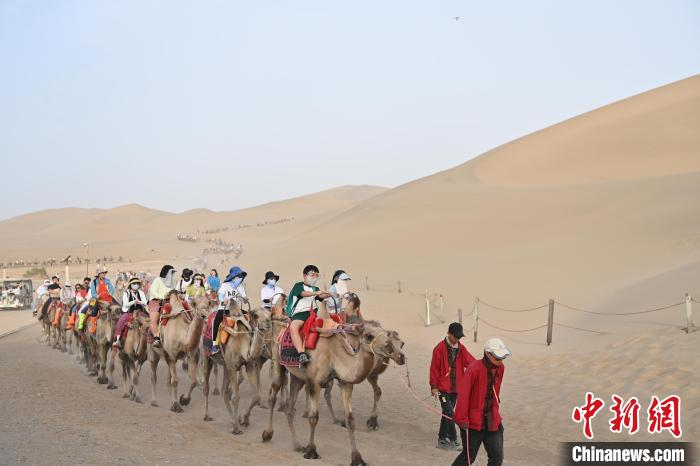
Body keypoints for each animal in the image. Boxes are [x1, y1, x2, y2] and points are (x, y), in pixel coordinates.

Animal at [202, 296, 270, 436]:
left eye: (269, 314)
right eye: (255, 315)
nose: (268, 323)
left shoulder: (248, 365)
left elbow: (256, 396)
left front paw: (243, 420)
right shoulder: (233, 368)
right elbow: (236, 398)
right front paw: (237, 429)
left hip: (225, 365)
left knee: (223, 391)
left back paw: (233, 420)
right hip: (207, 356)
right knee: (206, 387)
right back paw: (207, 416)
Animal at [266, 320, 394, 466]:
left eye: (387, 333)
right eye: (368, 336)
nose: (389, 346)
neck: (334, 355)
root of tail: (281, 329)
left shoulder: (346, 383)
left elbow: (350, 420)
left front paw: (357, 458)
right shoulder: (315, 383)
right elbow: (313, 417)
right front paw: (311, 451)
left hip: (298, 378)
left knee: (290, 409)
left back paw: (297, 445)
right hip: (277, 361)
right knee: (273, 395)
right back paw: (267, 434)